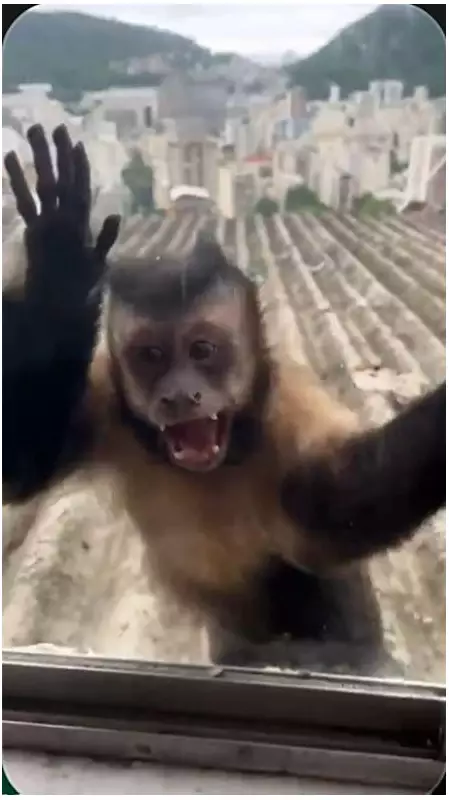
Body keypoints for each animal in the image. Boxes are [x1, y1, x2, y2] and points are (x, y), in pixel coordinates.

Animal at [2, 123, 446, 675]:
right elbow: (22, 464)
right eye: (151, 356)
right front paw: (59, 269)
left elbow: (330, 513)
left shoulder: (287, 404)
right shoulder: (108, 398)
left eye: (202, 351)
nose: (178, 394)